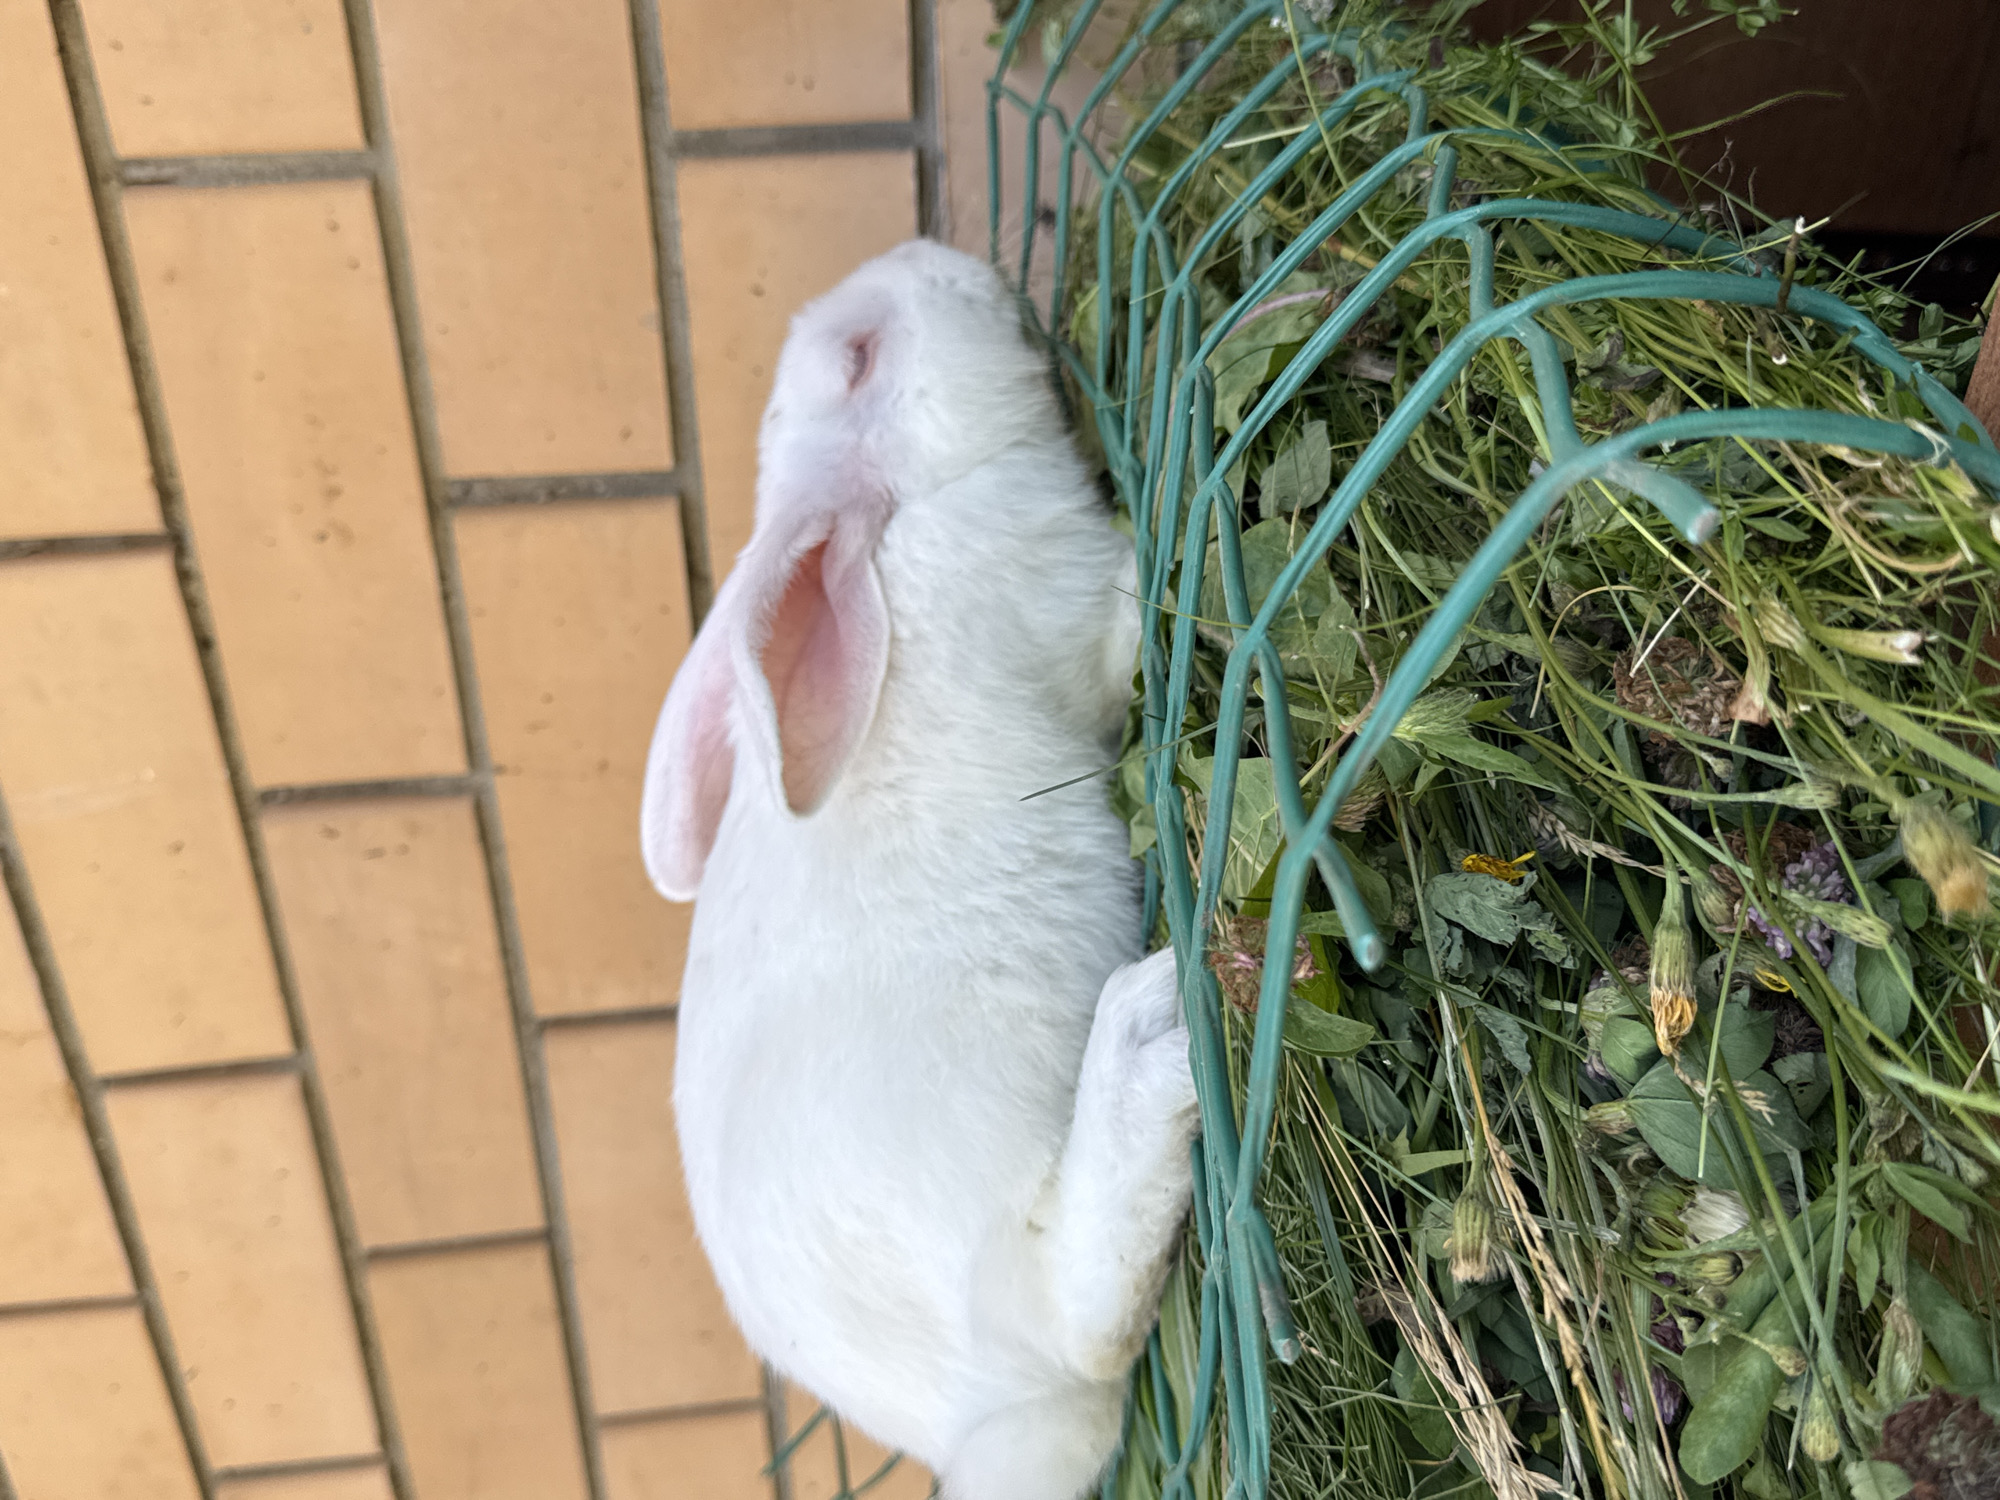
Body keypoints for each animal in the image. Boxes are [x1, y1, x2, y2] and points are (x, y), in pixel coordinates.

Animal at [639, 239, 1198, 1500]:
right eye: (861, 357)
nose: (929, 255)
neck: (916, 509)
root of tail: (987, 1420)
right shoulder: (1073, 599)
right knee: (1081, 1305)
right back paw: (1155, 1034)